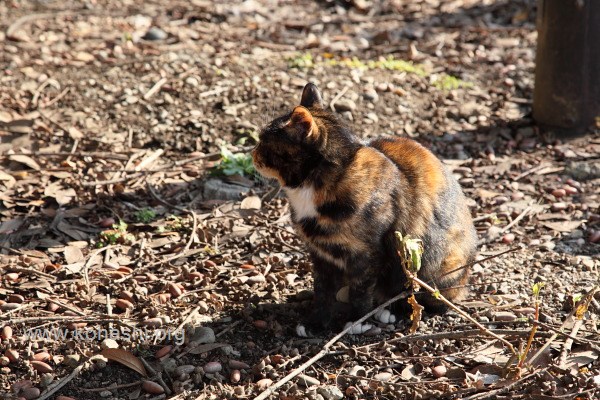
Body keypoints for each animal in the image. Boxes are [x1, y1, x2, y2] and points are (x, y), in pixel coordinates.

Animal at [252, 82, 478, 334]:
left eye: (265, 141)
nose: (252, 153)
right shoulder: (320, 254)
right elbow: (322, 291)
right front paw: (316, 322)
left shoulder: (367, 254)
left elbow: (361, 290)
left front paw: (358, 320)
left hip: (435, 262)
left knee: (429, 298)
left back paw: (392, 310)